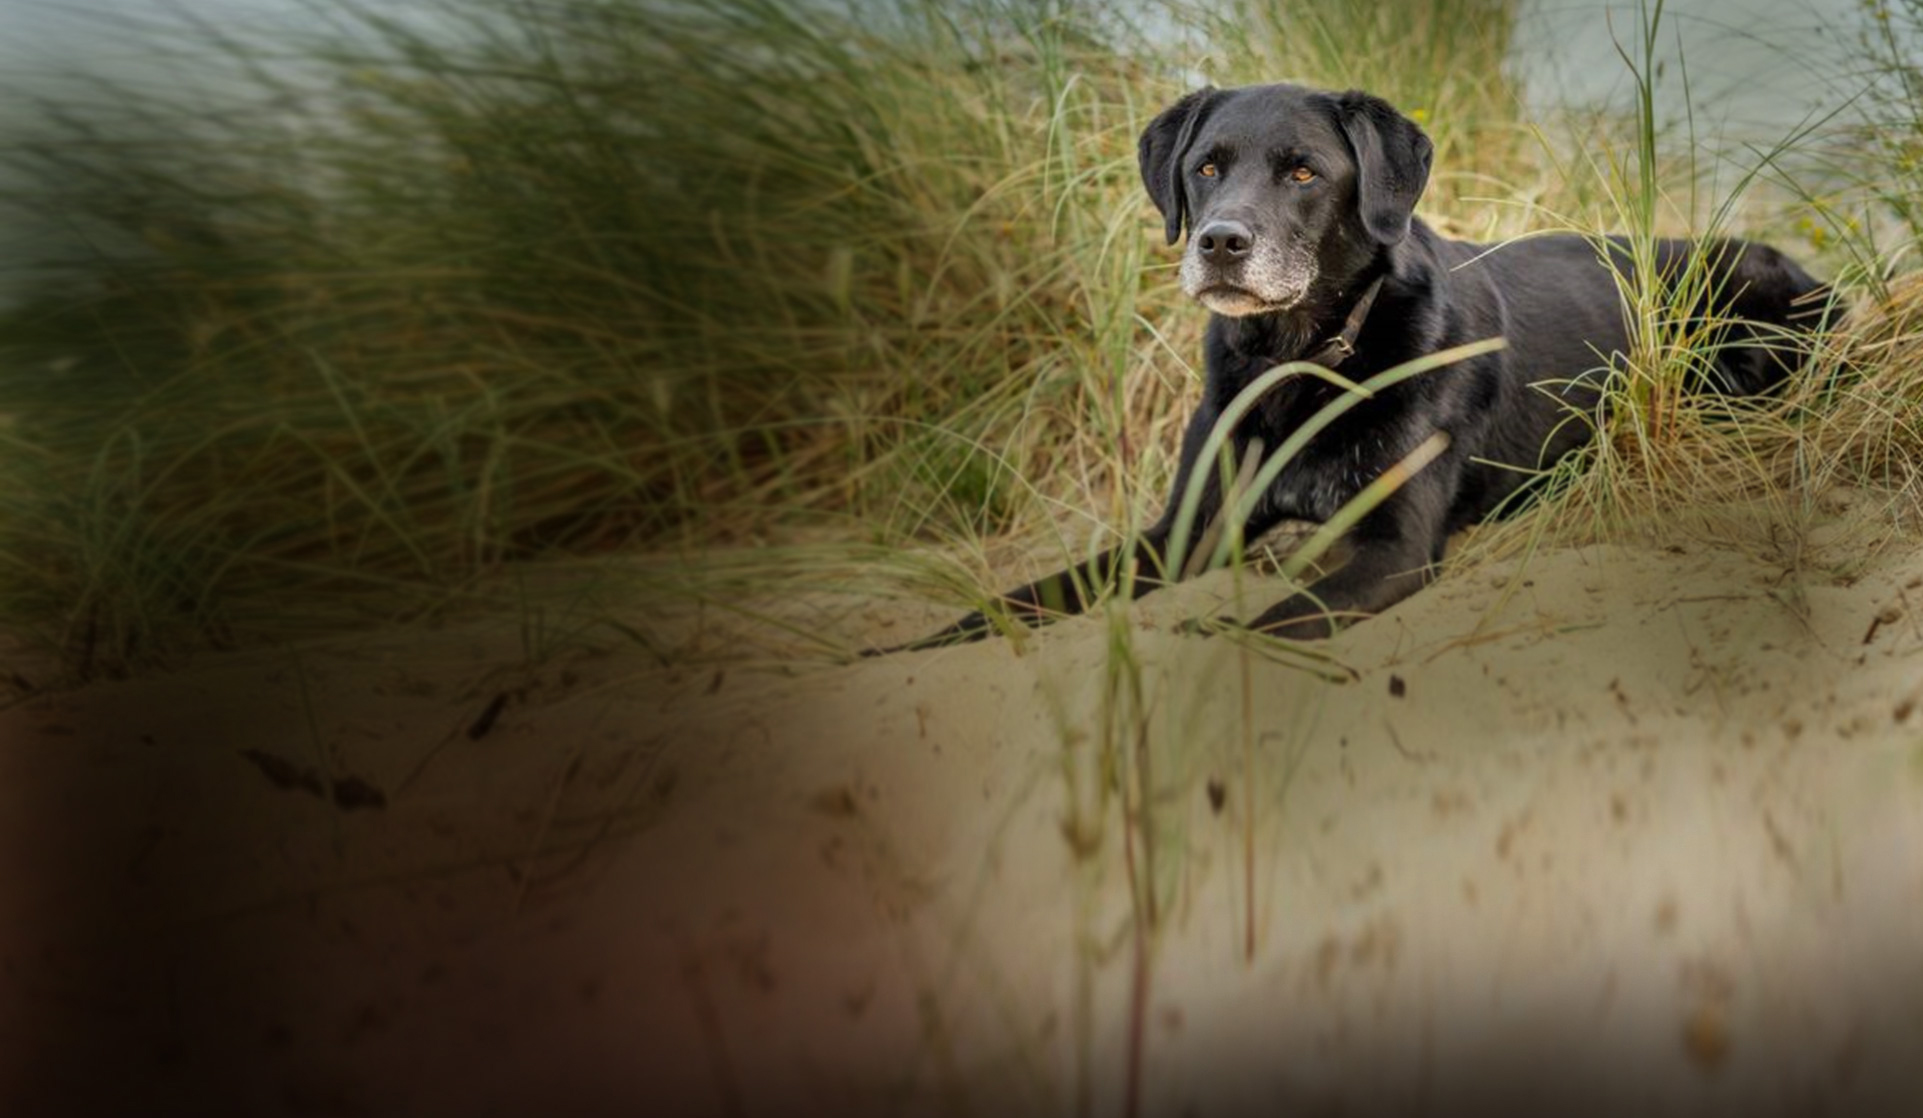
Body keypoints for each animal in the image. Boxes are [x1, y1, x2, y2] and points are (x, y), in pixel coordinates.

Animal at [880, 82, 1823, 650]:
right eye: (1205, 167)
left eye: (1302, 172)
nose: (1219, 243)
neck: (1298, 364)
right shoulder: (1183, 532)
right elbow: (1022, 598)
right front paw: (908, 644)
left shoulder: (1393, 548)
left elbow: (1259, 627)